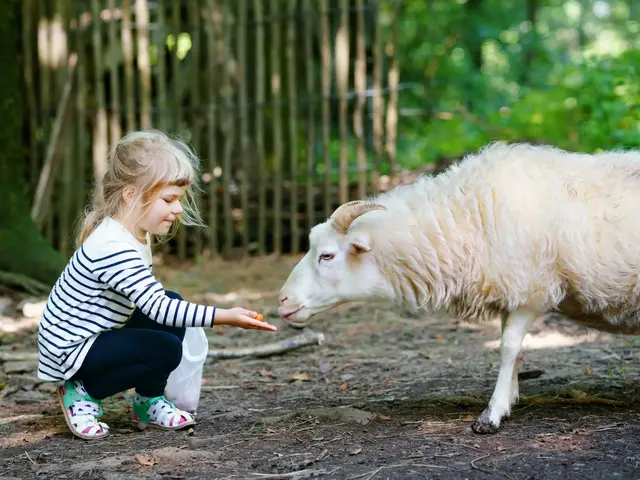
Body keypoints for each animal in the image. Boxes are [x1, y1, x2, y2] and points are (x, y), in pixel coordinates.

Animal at [277, 141, 640, 434]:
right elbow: (514, 350)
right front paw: (510, 398)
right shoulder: (511, 291)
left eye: (327, 255)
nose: (282, 300)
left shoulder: (530, 291)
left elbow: (508, 347)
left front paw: (492, 414)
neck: (468, 218)